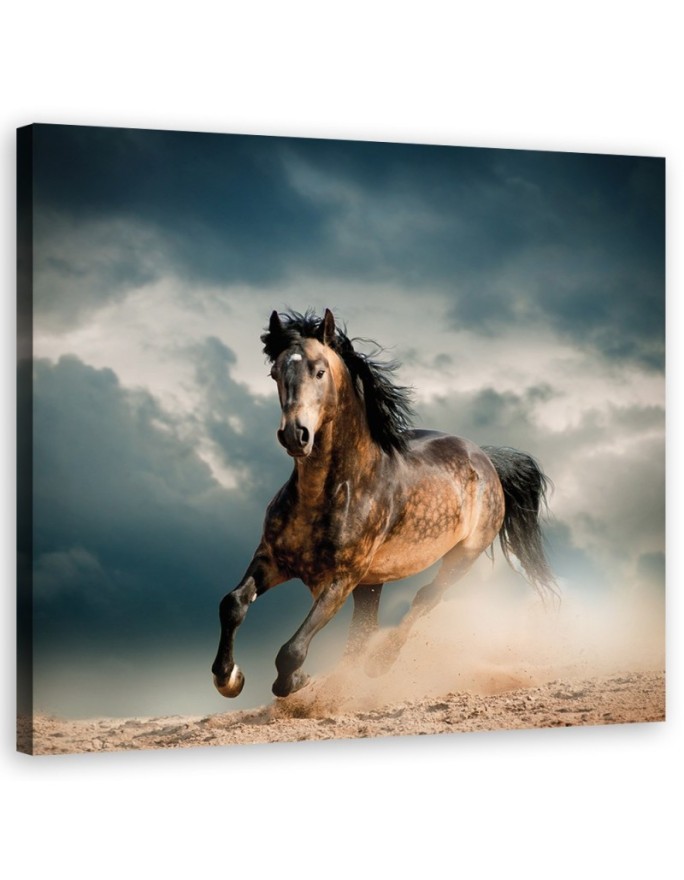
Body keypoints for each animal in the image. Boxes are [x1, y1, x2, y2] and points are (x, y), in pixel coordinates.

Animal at [212, 308, 556, 699]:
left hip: (461, 557)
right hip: (371, 583)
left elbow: (292, 650)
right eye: (275, 373)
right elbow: (233, 604)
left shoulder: (341, 579)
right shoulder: (272, 559)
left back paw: (380, 663)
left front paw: (295, 681)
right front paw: (229, 678)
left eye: (320, 371)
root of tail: (486, 459)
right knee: (363, 632)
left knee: (424, 600)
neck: (327, 494)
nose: (295, 435)